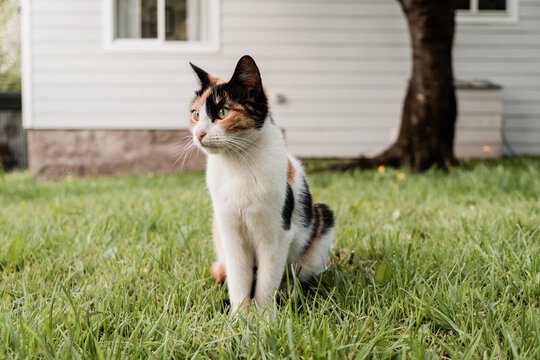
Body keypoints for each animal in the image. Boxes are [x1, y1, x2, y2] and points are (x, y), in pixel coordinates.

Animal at [189, 56, 334, 312]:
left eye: (223, 112)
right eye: (196, 114)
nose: (199, 134)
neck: (237, 165)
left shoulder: (277, 235)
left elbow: (267, 282)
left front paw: (263, 316)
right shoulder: (229, 232)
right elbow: (238, 278)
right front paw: (239, 315)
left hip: (321, 220)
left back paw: (290, 293)